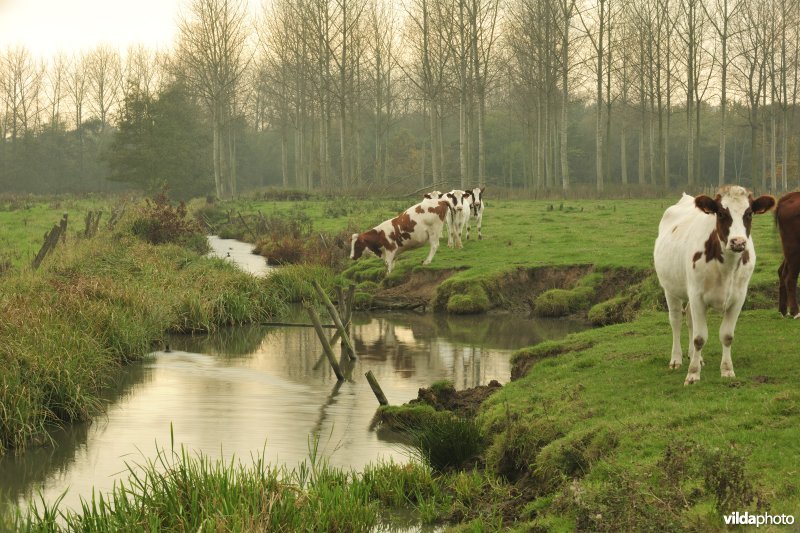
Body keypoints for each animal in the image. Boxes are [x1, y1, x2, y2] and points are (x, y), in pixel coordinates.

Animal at [656, 185, 776, 384]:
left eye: (749, 213)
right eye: (720, 213)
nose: (738, 242)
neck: (726, 266)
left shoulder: (738, 298)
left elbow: (726, 336)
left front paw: (727, 370)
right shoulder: (697, 296)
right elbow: (699, 338)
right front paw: (692, 374)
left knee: (689, 319)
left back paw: (695, 357)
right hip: (670, 289)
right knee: (676, 320)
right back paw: (676, 359)